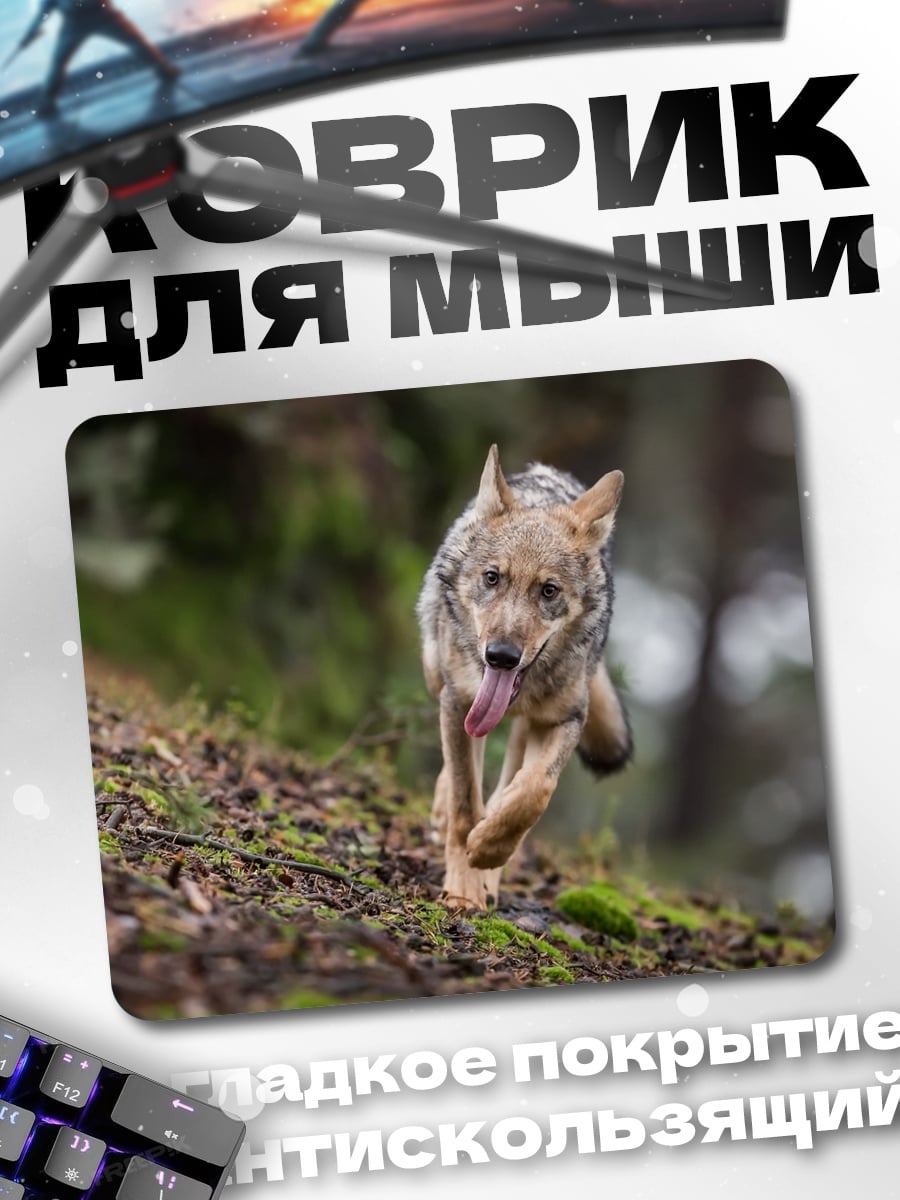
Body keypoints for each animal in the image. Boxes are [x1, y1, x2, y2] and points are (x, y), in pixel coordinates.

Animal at [417, 445, 632, 910]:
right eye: (492, 578)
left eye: (548, 590)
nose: (500, 657)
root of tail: (547, 472)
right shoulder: (459, 703)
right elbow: (465, 804)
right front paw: (463, 893)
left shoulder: (564, 719)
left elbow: (532, 794)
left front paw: (488, 852)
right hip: (437, 679)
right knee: (459, 775)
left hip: (524, 728)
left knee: (506, 785)